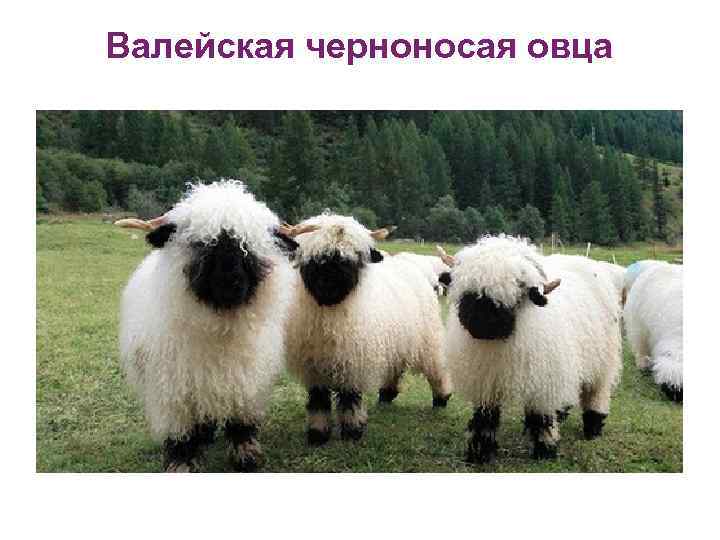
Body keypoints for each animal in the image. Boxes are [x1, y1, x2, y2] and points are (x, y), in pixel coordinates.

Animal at [116, 180, 296, 472]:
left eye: (250, 246)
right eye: (200, 244)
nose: (230, 282)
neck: (219, 328)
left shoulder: (246, 382)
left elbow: (241, 422)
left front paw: (246, 455)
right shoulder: (175, 391)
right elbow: (182, 433)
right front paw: (182, 461)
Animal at [282, 214, 452, 445]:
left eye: (354, 257)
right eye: (316, 256)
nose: (330, 282)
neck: (330, 312)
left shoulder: (353, 362)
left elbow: (350, 399)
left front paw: (352, 432)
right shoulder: (314, 366)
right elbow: (318, 401)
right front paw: (318, 434)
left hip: (428, 338)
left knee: (436, 369)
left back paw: (441, 398)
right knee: (395, 367)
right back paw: (386, 395)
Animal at [438, 236, 622, 462]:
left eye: (517, 289)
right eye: (468, 290)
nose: (481, 323)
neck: (499, 343)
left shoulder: (543, 379)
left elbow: (541, 416)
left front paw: (546, 449)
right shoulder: (486, 381)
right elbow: (485, 418)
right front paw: (480, 452)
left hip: (603, 360)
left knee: (597, 392)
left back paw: (593, 428)